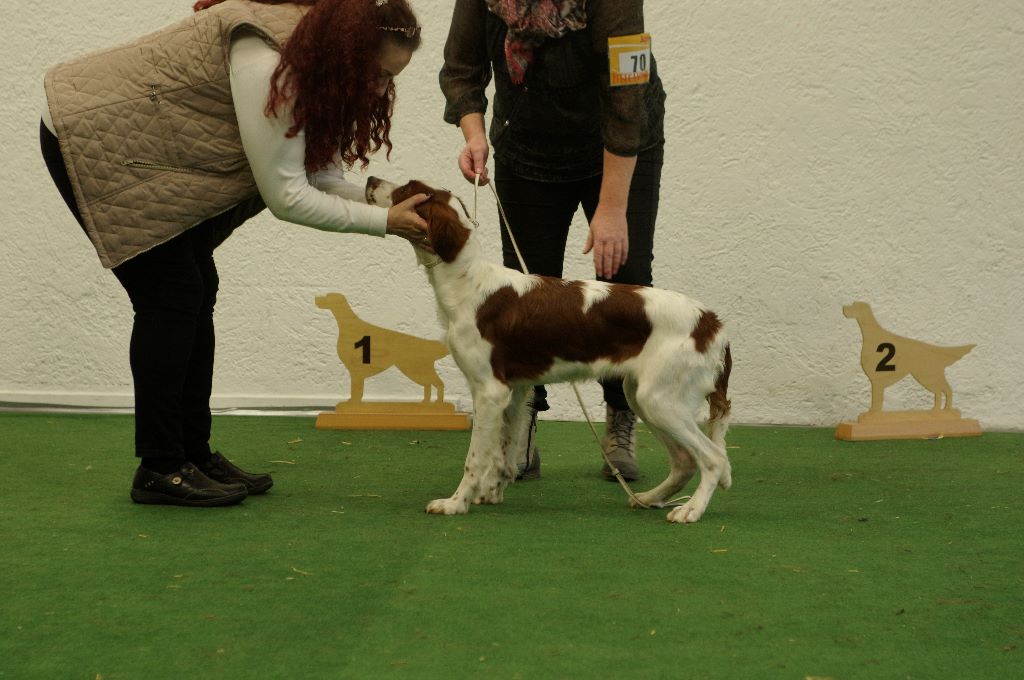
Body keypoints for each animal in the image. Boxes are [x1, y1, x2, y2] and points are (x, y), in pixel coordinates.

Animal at [315, 292, 448, 403]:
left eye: (327, 296)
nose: (316, 298)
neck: (349, 326)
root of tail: (429, 344)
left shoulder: (356, 370)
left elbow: (356, 389)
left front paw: (353, 402)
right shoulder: (357, 371)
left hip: (415, 368)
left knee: (438, 383)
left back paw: (438, 403)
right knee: (428, 385)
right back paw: (425, 402)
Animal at [364, 178, 733, 522]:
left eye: (405, 189)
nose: (370, 180)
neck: (468, 280)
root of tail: (713, 323)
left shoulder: (489, 390)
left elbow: (475, 458)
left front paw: (456, 503)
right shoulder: (514, 391)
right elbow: (504, 451)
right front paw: (493, 492)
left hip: (660, 399)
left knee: (714, 458)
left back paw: (691, 510)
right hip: (643, 396)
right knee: (685, 461)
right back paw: (650, 498)